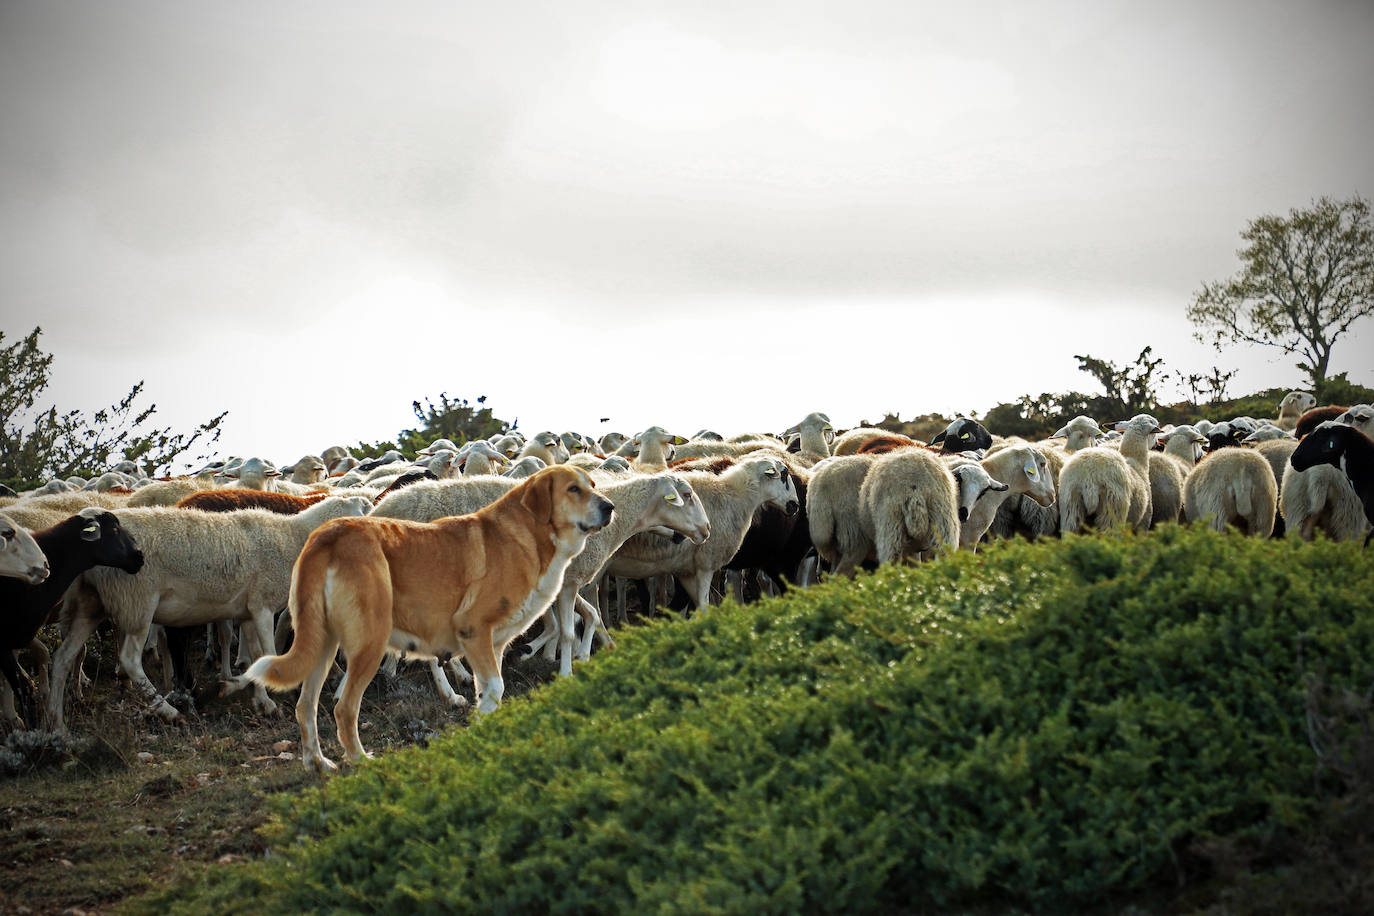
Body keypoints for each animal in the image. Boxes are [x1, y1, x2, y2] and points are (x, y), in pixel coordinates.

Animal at [44, 494, 373, 730]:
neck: (292, 537)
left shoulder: (248, 611)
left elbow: (256, 656)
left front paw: (259, 700)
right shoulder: (263, 605)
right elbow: (268, 653)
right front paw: (264, 696)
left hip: (90, 605)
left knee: (62, 659)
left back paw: (57, 726)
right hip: (137, 602)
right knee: (129, 661)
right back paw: (169, 711)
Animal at [229, 466, 612, 774]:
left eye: (593, 485)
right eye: (573, 489)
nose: (610, 507)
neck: (529, 534)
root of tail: (329, 533)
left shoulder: (494, 645)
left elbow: (490, 693)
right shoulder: (474, 631)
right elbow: (496, 687)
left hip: (320, 646)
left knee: (305, 707)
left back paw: (317, 763)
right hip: (369, 644)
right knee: (344, 708)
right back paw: (361, 761)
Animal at [607, 455, 802, 612]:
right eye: (784, 474)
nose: (795, 505)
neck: (734, 497)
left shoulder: (684, 568)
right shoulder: (705, 564)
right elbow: (703, 606)